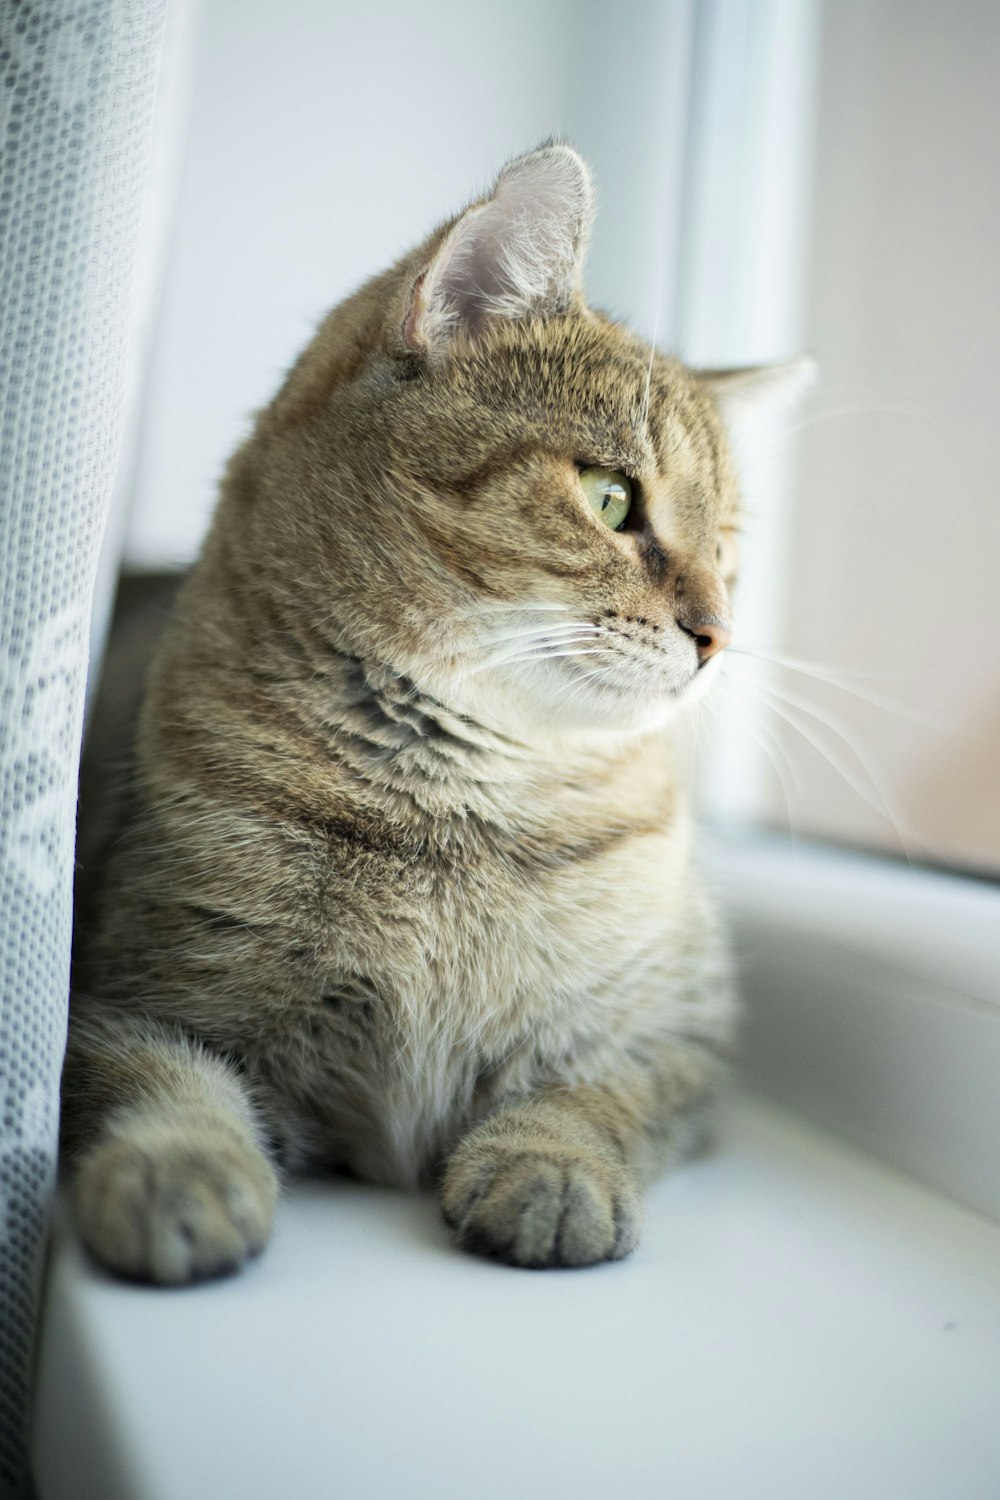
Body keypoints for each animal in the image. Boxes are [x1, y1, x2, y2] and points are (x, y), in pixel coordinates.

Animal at [64, 146, 803, 1284]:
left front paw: (551, 1169)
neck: (464, 815)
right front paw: (174, 1172)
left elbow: (593, 1097)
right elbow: (163, 1082)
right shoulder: (112, 999)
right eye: (610, 498)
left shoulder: (677, 1038)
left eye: (726, 549)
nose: (719, 632)